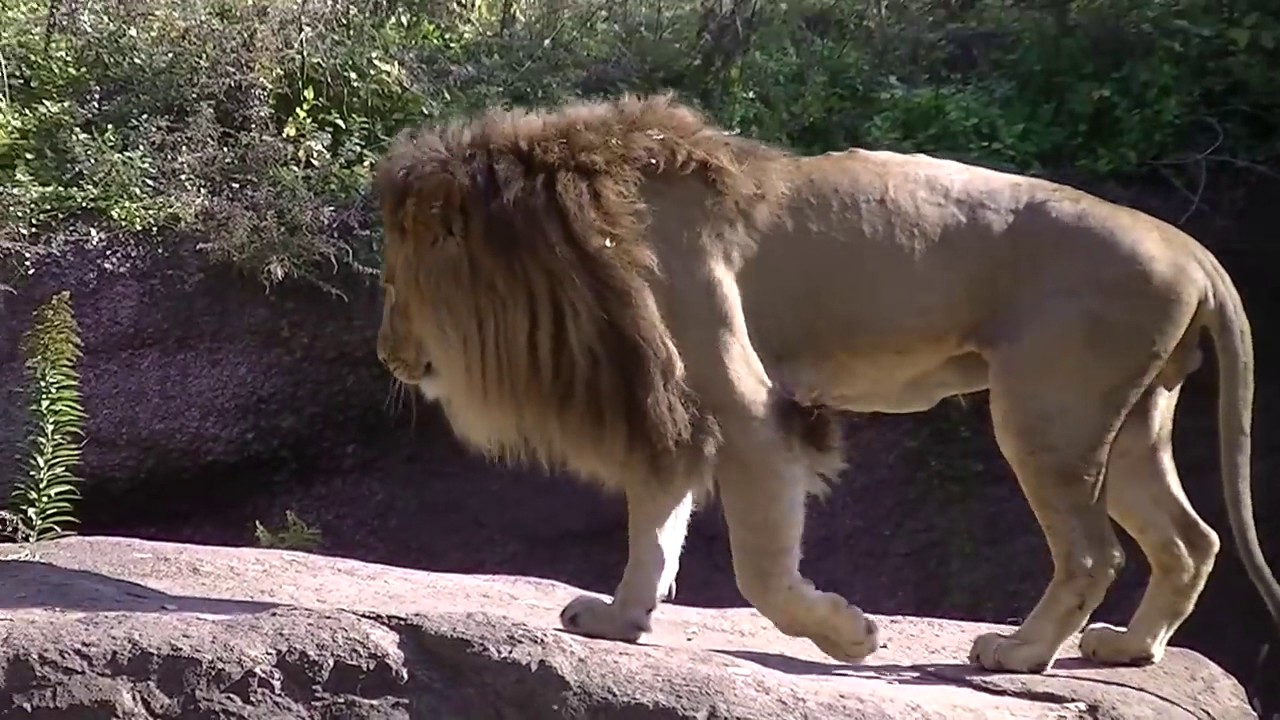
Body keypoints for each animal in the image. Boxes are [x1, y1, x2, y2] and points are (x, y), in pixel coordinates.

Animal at [373, 92, 1280, 671]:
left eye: (392, 280)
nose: (386, 354)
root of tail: (1190, 246)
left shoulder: (743, 406)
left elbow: (760, 570)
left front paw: (849, 636)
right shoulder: (674, 407)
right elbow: (653, 528)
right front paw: (619, 620)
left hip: (1045, 414)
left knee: (1094, 552)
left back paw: (1018, 654)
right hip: (1126, 420)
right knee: (1191, 540)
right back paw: (1129, 648)